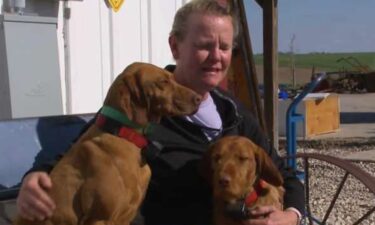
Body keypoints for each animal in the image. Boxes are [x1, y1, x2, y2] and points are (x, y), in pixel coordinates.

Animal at [13, 62, 203, 225]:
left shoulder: (126, 217)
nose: (199, 99)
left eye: (173, 79)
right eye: (163, 82)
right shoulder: (99, 218)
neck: (125, 136)